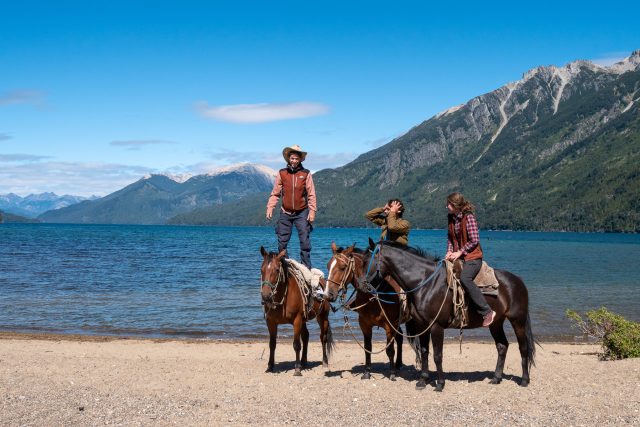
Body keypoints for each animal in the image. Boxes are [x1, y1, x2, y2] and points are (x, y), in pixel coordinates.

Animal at [258, 246, 336, 376]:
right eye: (261, 270)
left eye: (277, 270)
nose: (266, 296)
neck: (283, 297)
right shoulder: (271, 322)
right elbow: (272, 344)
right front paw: (270, 366)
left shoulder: (297, 320)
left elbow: (296, 344)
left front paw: (297, 369)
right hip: (305, 320)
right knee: (306, 336)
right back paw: (304, 362)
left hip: (322, 317)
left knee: (323, 337)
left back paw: (324, 361)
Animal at [324, 244, 410, 382]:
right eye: (328, 266)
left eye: (343, 267)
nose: (328, 295)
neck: (373, 294)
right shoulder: (365, 325)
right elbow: (367, 348)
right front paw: (367, 372)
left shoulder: (389, 326)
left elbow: (390, 350)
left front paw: (391, 374)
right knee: (400, 337)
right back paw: (398, 364)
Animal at [338, 239, 536, 392]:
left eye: (366, 262)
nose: (362, 286)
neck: (425, 283)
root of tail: (517, 281)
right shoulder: (422, 325)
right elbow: (425, 352)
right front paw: (423, 380)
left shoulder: (436, 326)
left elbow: (437, 355)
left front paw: (440, 384)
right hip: (495, 323)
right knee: (502, 346)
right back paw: (496, 378)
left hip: (517, 321)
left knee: (523, 348)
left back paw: (525, 380)